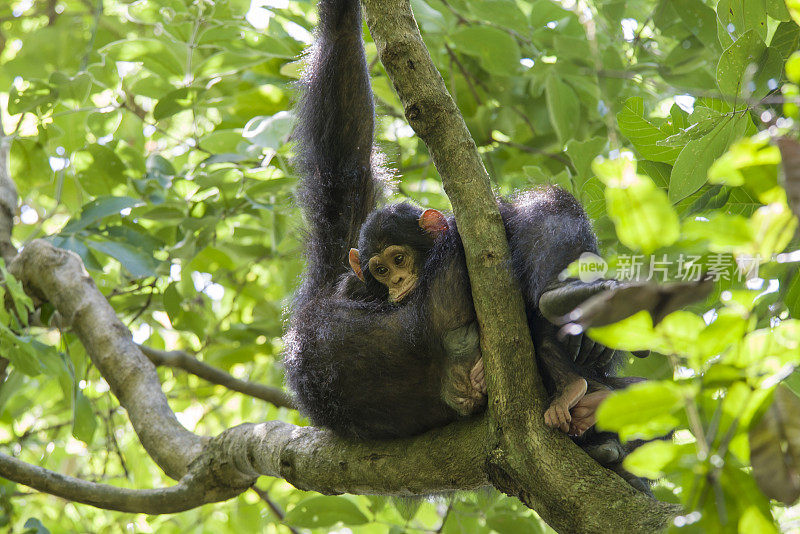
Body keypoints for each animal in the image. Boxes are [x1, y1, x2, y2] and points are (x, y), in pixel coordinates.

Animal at [284, 0, 640, 480]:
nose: (397, 282)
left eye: (399, 260)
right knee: (542, 206)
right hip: (448, 295)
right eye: (382, 268)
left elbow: (344, 163)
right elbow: (343, 170)